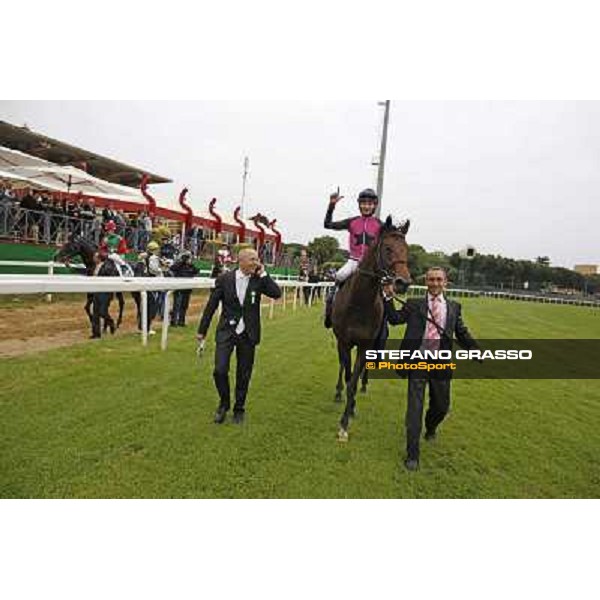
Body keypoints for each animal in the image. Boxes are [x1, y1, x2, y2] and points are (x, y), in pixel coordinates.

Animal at [330, 216, 410, 440]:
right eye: (388, 248)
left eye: (407, 249)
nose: (403, 282)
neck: (359, 302)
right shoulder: (345, 342)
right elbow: (348, 375)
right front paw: (346, 409)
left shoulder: (365, 345)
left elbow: (355, 380)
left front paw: (347, 418)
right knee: (342, 365)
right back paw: (338, 392)